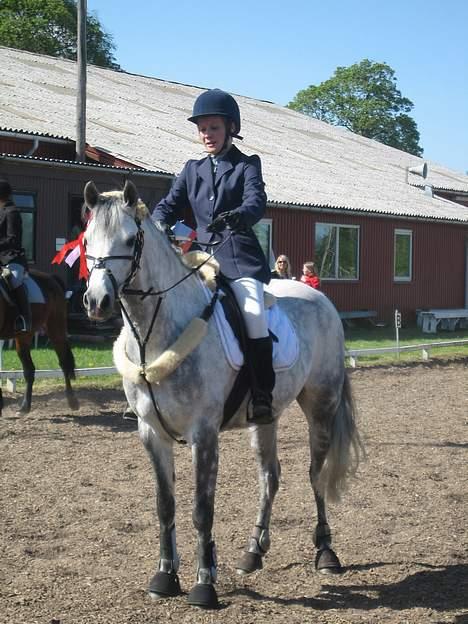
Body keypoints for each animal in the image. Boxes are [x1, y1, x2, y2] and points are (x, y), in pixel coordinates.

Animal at [0, 266, 78, 414]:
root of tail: (51, 278)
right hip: (23, 337)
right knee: (29, 370)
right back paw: (25, 407)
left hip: (55, 329)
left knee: (64, 363)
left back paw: (72, 402)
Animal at [83, 179, 362, 608]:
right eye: (86, 240)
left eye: (130, 239)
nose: (96, 302)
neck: (156, 333)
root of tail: (321, 299)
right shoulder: (151, 433)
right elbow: (165, 506)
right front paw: (165, 577)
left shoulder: (203, 434)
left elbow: (202, 509)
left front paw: (204, 584)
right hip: (266, 417)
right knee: (270, 476)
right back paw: (253, 552)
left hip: (321, 405)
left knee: (315, 474)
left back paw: (326, 553)